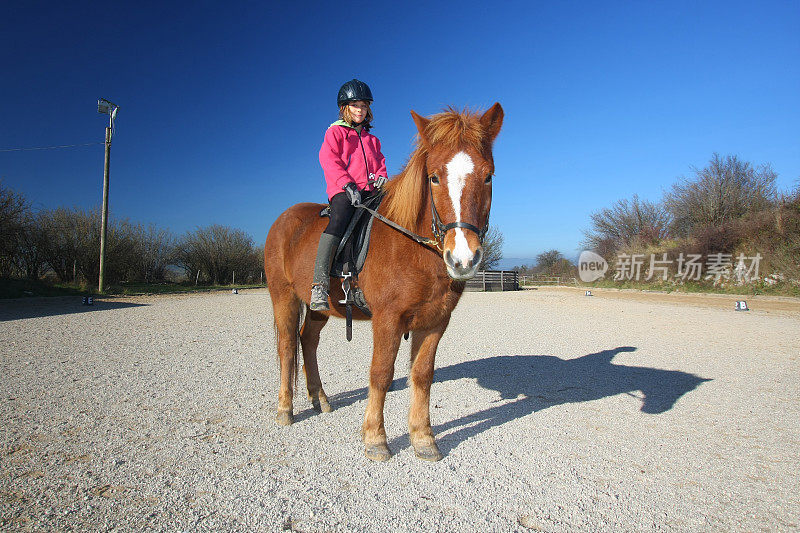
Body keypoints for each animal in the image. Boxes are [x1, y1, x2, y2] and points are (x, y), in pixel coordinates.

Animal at [266, 104, 504, 462]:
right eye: (434, 177)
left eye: (488, 175)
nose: (463, 258)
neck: (412, 246)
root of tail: (283, 220)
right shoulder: (387, 319)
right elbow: (381, 374)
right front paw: (375, 438)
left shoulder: (435, 321)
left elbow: (422, 375)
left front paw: (423, 437)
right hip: (284, 297)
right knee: (286, 347)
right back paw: (285, 409)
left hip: (319, 306)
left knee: (308, 341)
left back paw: (319, 398)